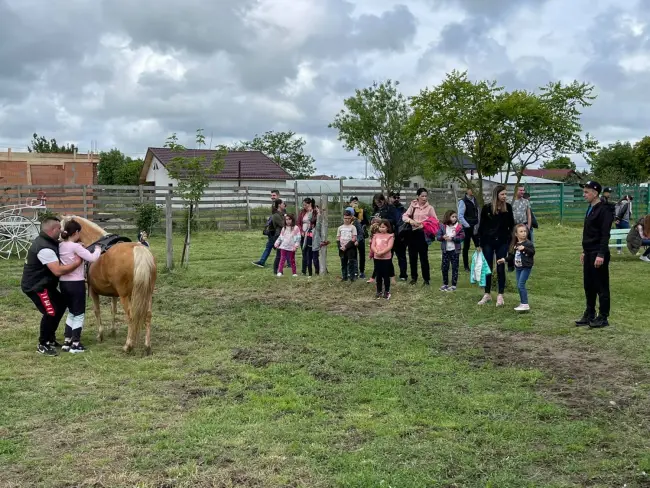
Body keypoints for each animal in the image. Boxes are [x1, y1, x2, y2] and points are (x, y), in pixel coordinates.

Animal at [60, 216, 157, 354]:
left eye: (61, 227)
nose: (60, 239)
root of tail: (138, 249)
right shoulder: (114, 294)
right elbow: (113, 310)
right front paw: (113, 331)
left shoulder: (93, 291)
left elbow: (97, 310)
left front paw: (100, 335)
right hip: (148, 293)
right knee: (148, 315)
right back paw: (147, 346)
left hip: (125, 296)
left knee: (131, 316)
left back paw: (128, 345)